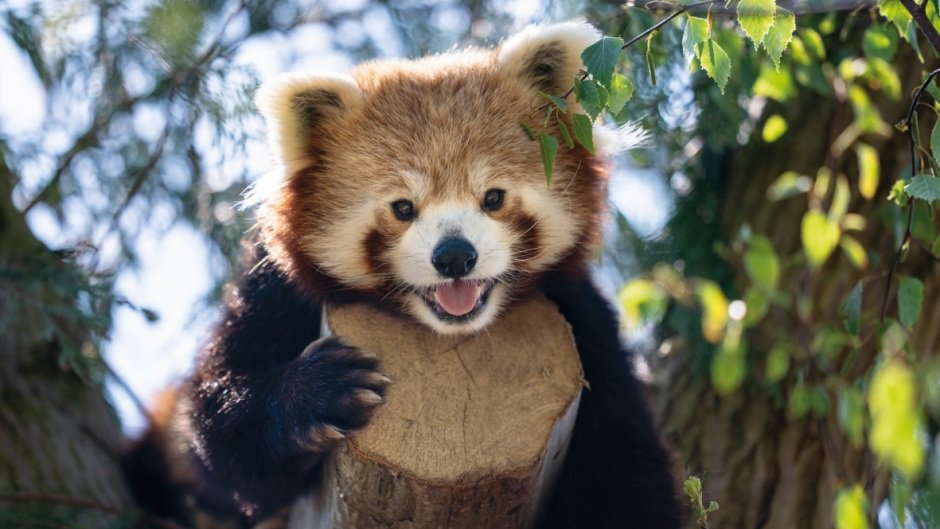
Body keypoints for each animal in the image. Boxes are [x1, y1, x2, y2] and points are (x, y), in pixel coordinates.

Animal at [123, 22, 682, 529]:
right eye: (403, 208)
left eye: (493, 197)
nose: (454, 256)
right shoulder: (272, 293)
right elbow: (215, 435)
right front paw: (319, 391)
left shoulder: (584, 326)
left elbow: (627, 469)